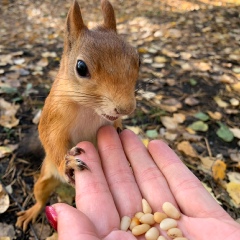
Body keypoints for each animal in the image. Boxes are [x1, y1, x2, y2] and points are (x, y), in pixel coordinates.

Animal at [15, 0, 140, 231]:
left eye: (138, 60)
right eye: (81, 67)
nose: (126, 108)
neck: (89, 109)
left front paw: (120, 127)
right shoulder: (52, 117)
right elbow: (50, 140)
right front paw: (68, 164)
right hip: (43, 180)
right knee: (41, 198)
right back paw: (32, 211)